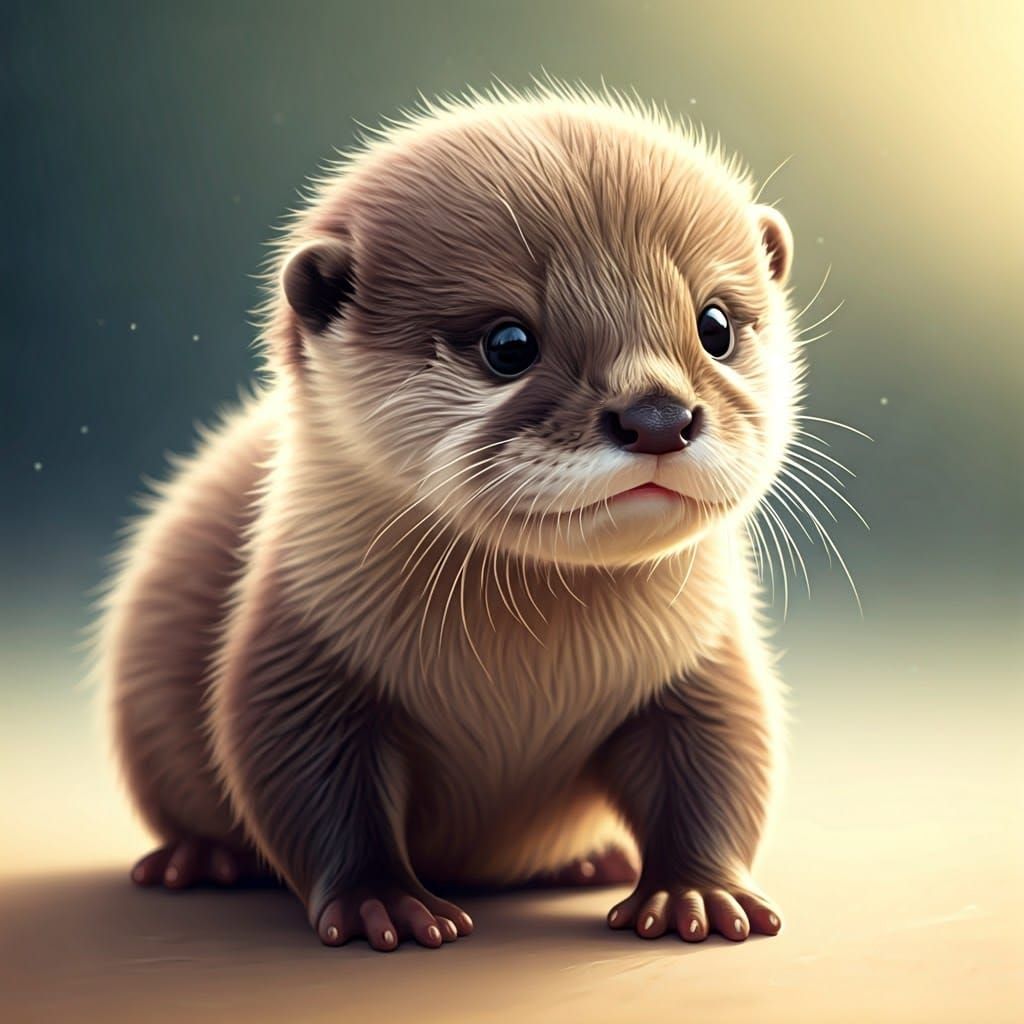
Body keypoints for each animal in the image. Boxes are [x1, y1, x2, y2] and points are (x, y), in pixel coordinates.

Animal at [97, 85, 800, 950]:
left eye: (715, 325)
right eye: (508, 343)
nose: (659, 415)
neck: (528, 678)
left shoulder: (697, 659)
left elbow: (721, 758)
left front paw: (695, 893)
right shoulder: (301, 647)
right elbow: (305, 778)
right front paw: (382, 903)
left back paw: (590, 858)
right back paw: (196, 859)